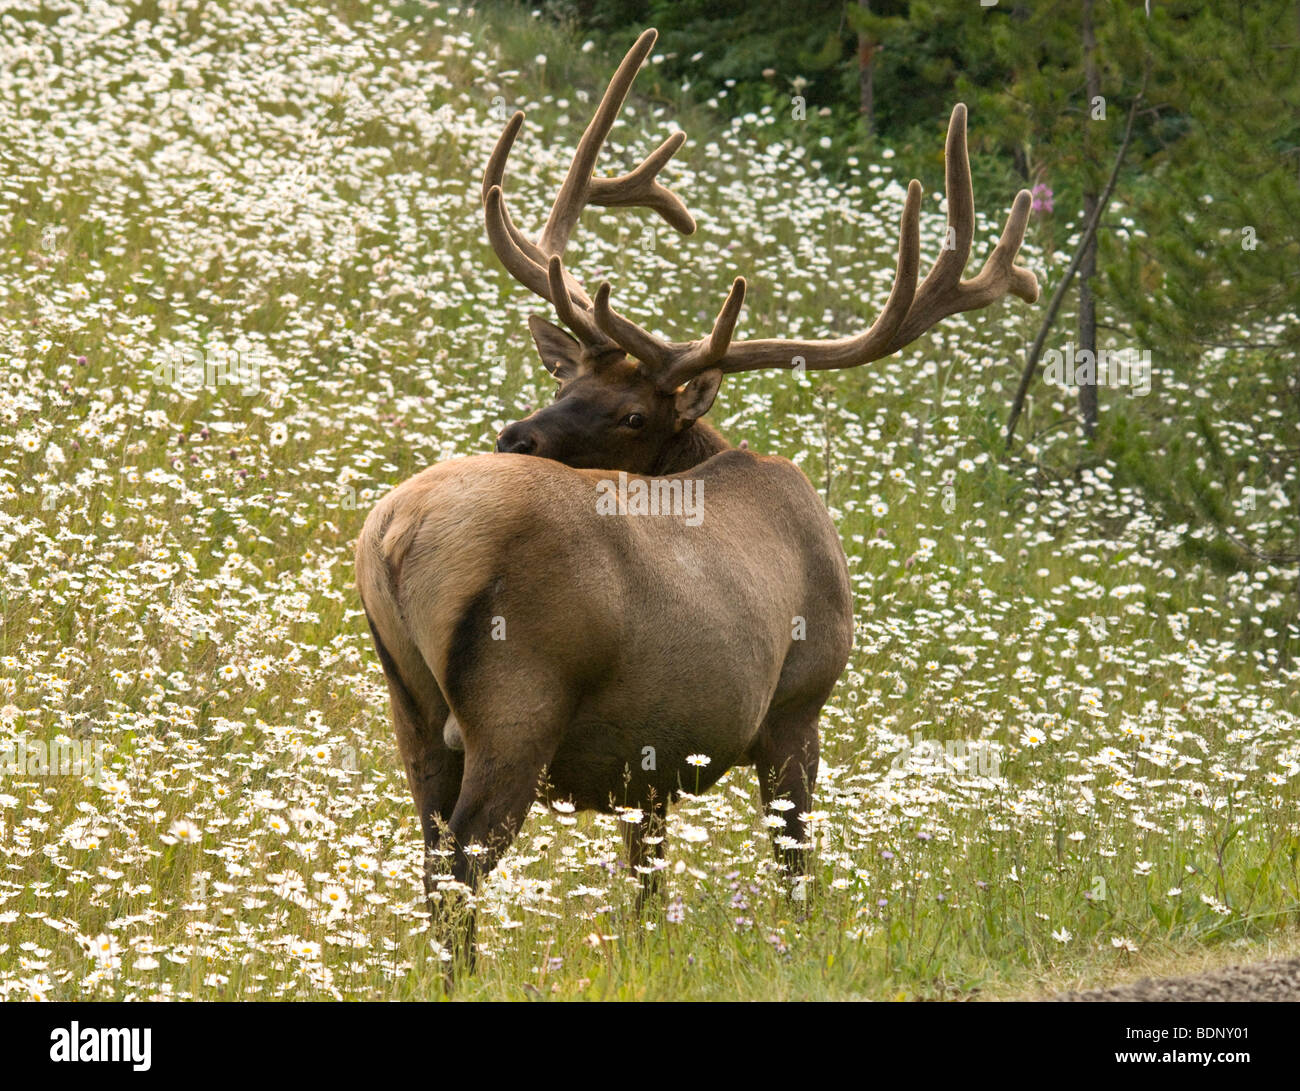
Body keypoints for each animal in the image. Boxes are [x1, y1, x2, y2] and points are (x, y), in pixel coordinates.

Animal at [353, 29, 1034, 962]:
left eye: (630, 409)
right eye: (568, 381)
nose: (516, 434)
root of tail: (396, 535)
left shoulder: (647, 756)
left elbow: (647, 882)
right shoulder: (796, 701)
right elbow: (794, 863)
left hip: (412, 709)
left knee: (428, 849)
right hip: (519, 698)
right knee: (462, 860)